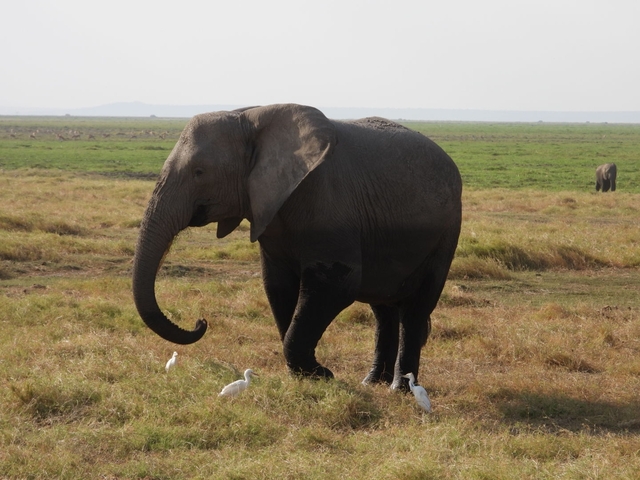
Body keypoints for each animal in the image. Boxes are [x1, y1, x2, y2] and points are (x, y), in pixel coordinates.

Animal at [132, 104, 462, 390]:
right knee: (383, 308)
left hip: (447, 231)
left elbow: (336, 286)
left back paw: (400, 390)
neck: (248, 117)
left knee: (416, 307)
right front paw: (306, 376)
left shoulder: (328, 201)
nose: (201, 321)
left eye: (199, 172)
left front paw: (321, 375)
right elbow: (277, 287)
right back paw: (372, 383)